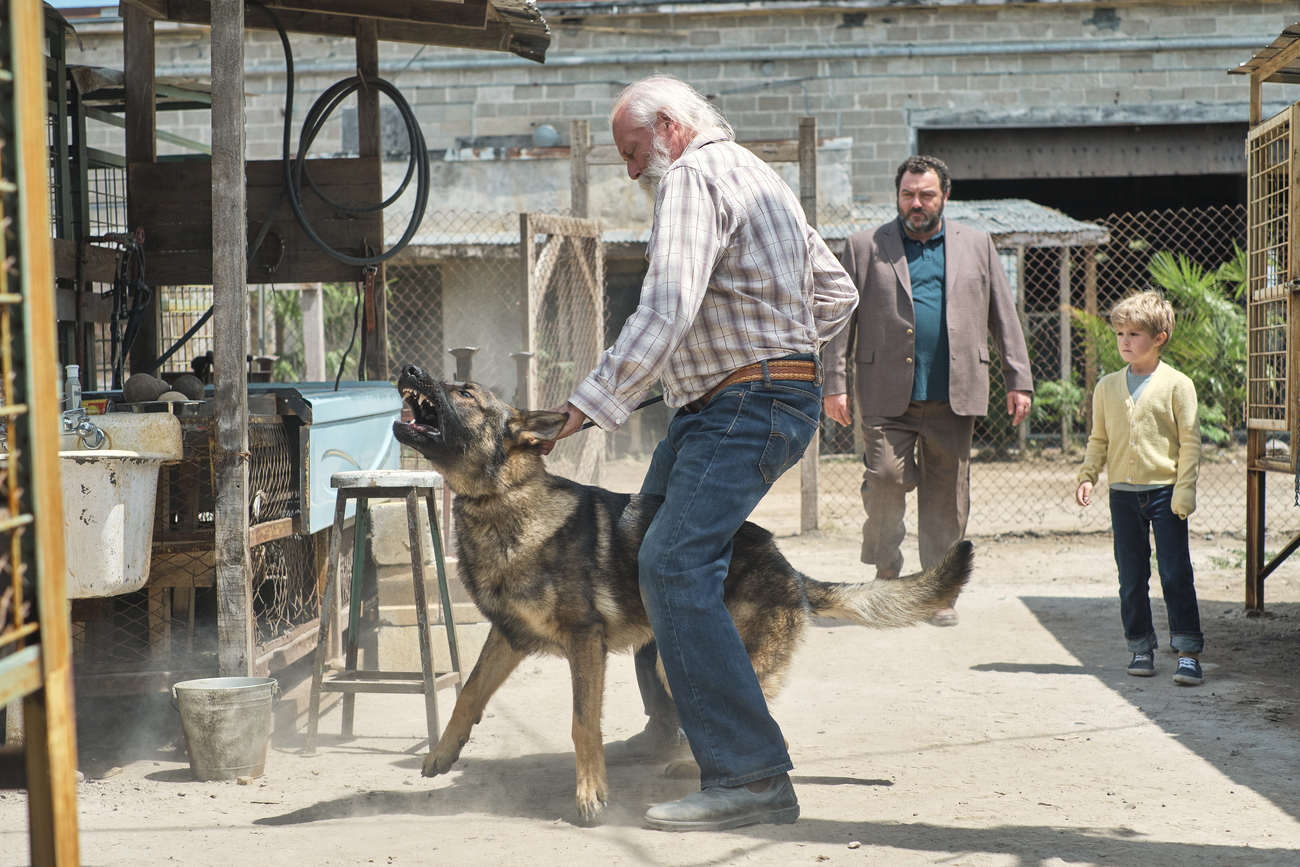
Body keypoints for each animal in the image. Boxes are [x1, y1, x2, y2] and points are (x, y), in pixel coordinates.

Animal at [390, 363, 972, 826]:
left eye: (465, 392)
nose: (410, 367)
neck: (501, 498)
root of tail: (786, 565)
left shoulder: (585, 643)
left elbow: (582, 723)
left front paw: (590, 795)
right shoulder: (508, 636)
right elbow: (468, 693)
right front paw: (442, 753)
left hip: (687, 659)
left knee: (758, 724)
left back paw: (726, 785)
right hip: (666, 655)